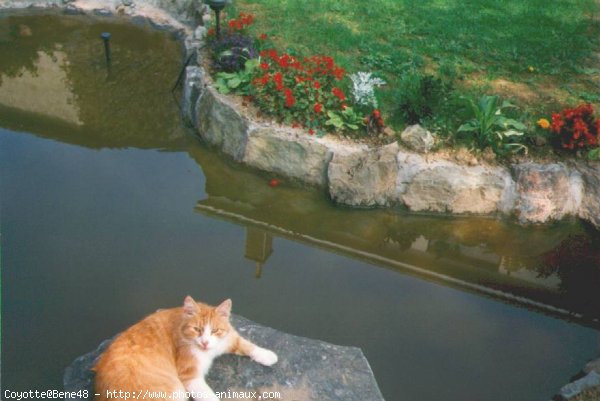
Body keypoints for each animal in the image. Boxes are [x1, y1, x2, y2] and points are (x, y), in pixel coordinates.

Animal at [93, 294, 278, 400]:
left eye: (215, 330)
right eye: (196, 329)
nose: (205, 342)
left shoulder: (226, 339)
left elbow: (246, 344)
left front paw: (267, 355)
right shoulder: (190, 376)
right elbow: (208, 396)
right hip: (174, 391)